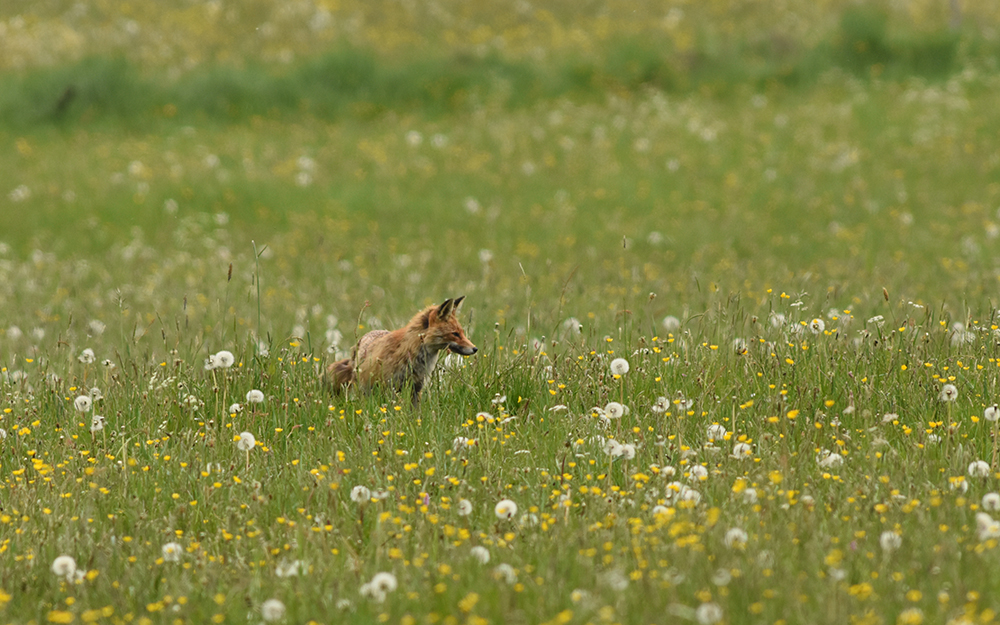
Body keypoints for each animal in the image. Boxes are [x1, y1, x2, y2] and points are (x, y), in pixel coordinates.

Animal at [326, 294, 478, 402]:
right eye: (455, 334)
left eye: (462, 332)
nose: (475, 349)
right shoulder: (391, 387)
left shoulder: (416, 387)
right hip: (367, 388)